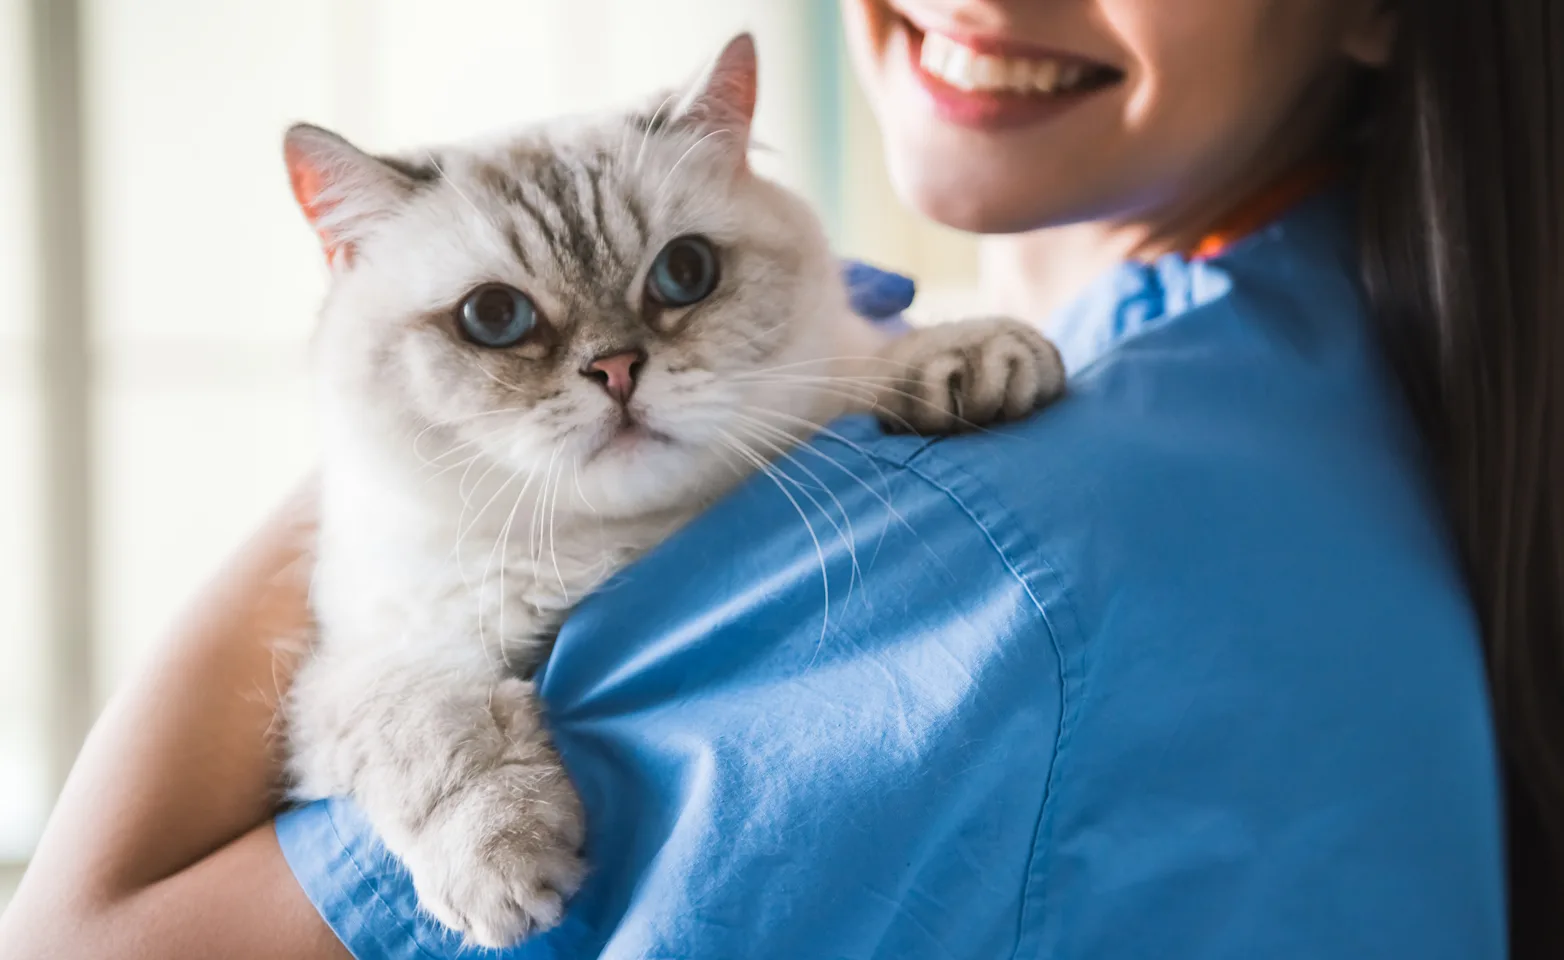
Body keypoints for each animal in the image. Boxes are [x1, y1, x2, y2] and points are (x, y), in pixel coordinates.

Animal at [281, 30, 1063, 956]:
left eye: (685, 272)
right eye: (495, 317)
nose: (617, 369)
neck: (616, 543)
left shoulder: (822, 383)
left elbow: (864, 365)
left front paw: (967, 359)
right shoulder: (365, 659)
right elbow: (440, 734)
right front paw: (506, 867)